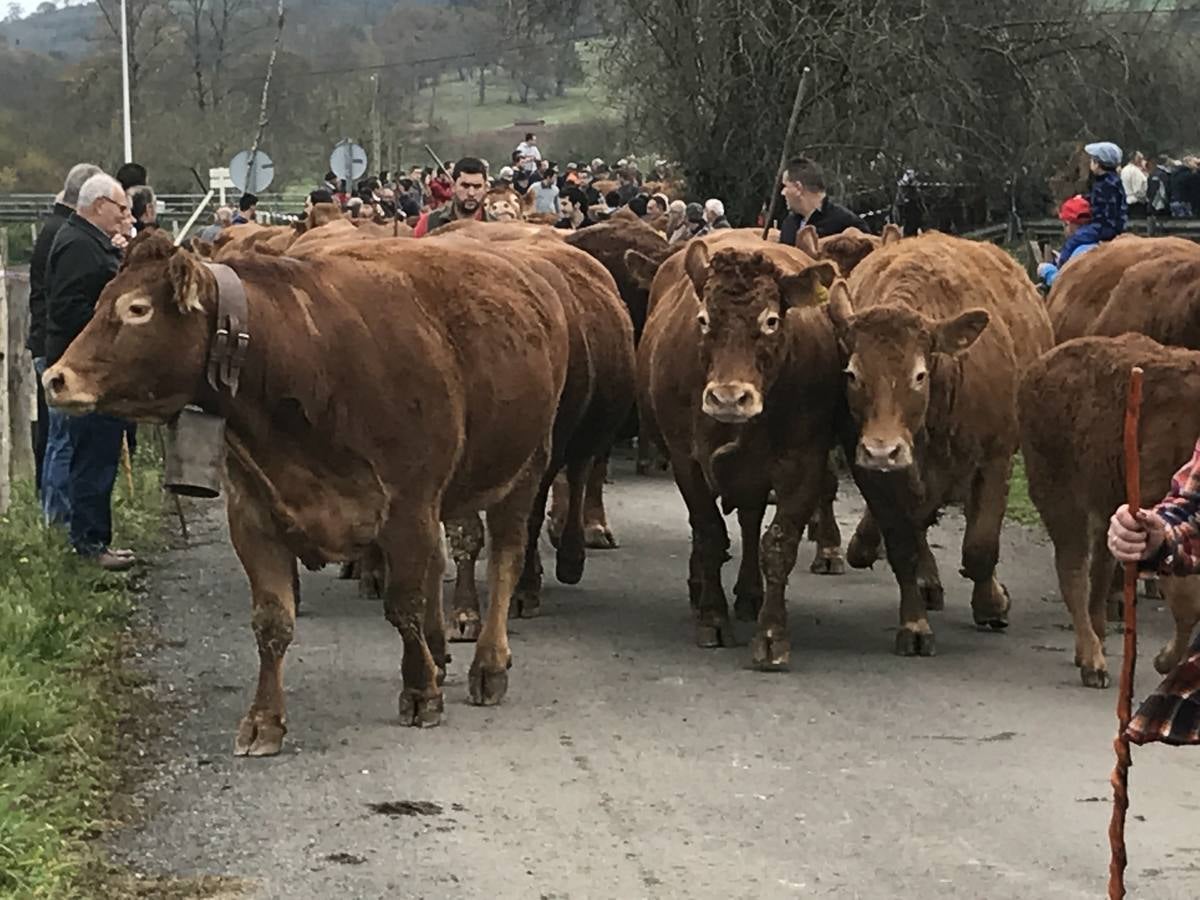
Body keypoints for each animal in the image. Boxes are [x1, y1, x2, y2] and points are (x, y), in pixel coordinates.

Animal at [44, 230, 568, 753]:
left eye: (137, 309)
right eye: (99, 302)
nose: (55, 378)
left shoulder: (409, 508)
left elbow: (405, 605)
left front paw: (421, 693)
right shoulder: (254, 515)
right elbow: (273, 621)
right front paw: (264, 719)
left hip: (523, 470)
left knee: (505, 559)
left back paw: (489, 663)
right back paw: (439, 654)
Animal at [638, 229, 835, 667]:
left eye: (771, 320)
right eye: (704, 319)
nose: (729, 398)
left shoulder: (803, 461)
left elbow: (778, 543)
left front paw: (771, 634)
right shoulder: (686, 459)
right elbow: (709, 532)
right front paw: (712, 618)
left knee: (749, 520)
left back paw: (749, 593)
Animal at [830, 232, 1056, 657]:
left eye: (919, 375)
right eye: (851, 373)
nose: (883, 451)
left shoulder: (996, 458)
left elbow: (980, 545)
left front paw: (991, 604)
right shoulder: (873, 474)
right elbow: (903, 544)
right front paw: (914, 624)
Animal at [1017, 338, 1200, 691]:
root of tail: (1036, 368)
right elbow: (1188, 601)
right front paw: (1164, 662)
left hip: (1105, 507)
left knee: (1100, 570)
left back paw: (1095, 644)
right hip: (1059, 496)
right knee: (1074, 571)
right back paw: (1093, 663)